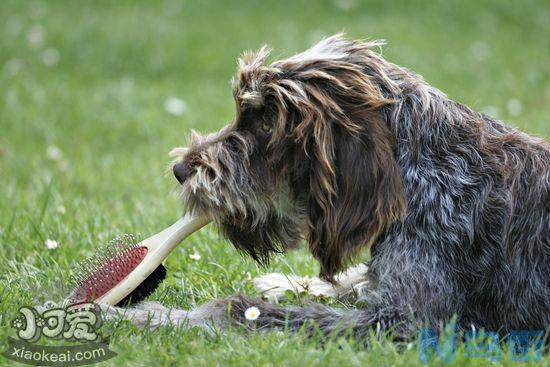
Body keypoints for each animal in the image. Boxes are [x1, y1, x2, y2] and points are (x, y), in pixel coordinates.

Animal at [104, 35, 550, 342]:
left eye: (264, 122)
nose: (180, 170)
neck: (425, 164)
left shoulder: (406, 322)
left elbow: (234, 311)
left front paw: (140, 316)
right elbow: (353, 280)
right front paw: (287, 283)